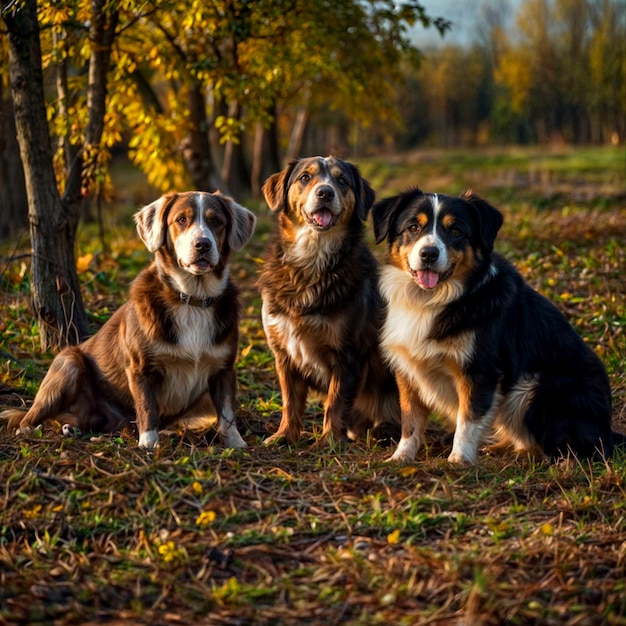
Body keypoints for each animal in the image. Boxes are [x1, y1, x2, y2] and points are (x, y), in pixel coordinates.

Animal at [2, 191, 255, 448]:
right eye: (182, 219)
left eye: (217, 221)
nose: (202, 244)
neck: (191, 299)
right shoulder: (140, 367)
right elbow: (147, 407)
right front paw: (149, 444)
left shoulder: (224, 368)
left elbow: (227, 411)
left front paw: (235, 443)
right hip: (68, 364)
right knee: (29, 417)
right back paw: (31, 429)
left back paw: (76, 428)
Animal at [258, 158, 400, 446]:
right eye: (305, 177)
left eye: (341, 180)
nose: (325, 192)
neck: (312, 259)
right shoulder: (284, 353)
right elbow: (290, 401)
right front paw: (285, 435)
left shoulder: (347, 353)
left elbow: (336, 401)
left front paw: (330, 442)